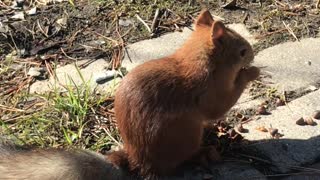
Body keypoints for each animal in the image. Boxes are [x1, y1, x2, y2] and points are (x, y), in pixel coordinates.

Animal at [107, 8, 260, 177]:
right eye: (242, 52)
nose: (253, 55)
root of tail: (139, 160)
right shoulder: (209, 91)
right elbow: (219, 107)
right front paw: (252, 72)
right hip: (186, 134)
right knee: (183, 158)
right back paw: (205, 152)